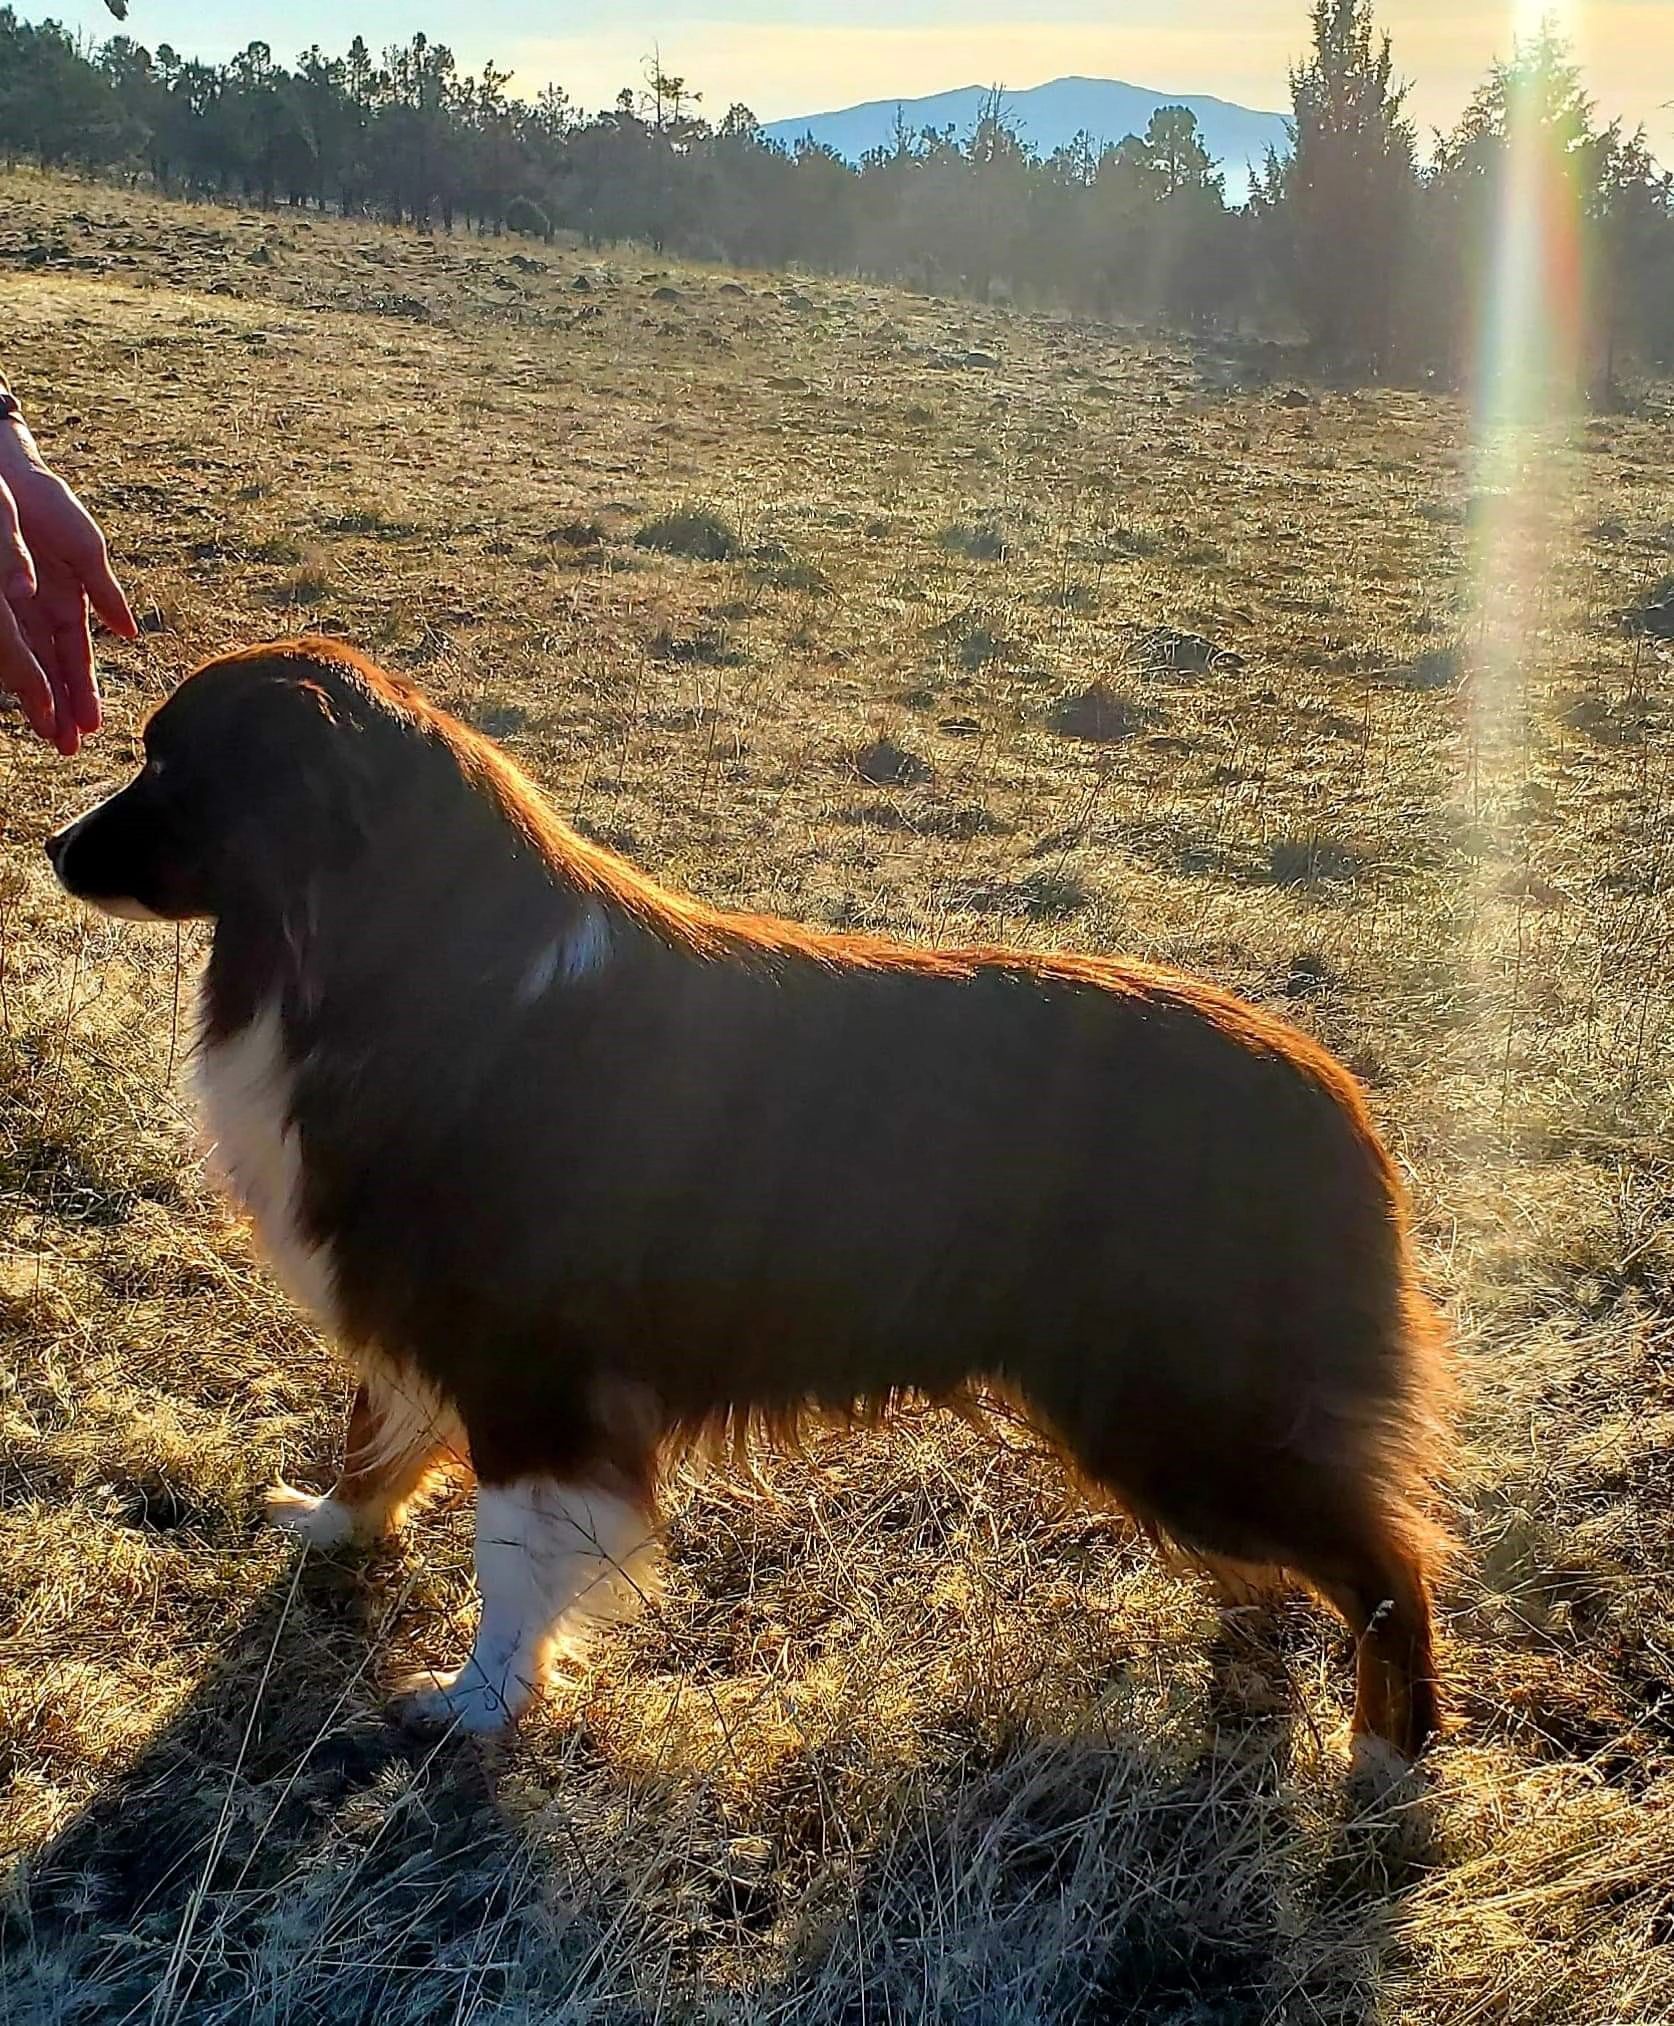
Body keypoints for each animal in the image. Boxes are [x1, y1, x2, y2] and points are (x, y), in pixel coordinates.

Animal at [42, 640, 1451, 1750]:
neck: (392, 950)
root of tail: (1335, 1097)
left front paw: (478, 1703)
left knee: (1388, 1563)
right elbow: (374, 1434)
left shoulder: (534, 1372)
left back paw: (1386, 1760)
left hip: (1186, 1412)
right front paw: (335, 1531)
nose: (51, 846)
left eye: (170, 768)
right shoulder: (420, 1309)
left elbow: (514, 1552)